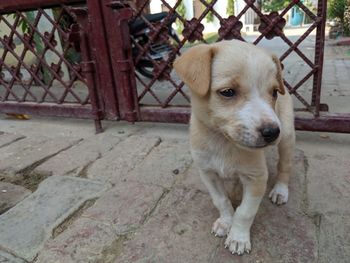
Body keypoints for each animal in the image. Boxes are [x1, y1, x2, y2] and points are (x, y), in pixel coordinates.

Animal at [174, 40, 294, 256]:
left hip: (287, 136)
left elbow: (245, 212)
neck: (224, 142)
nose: (272, 132)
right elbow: (221, 200)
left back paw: (280, 190)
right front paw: (225, 222)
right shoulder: (208, 173)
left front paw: (238, 238)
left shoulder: (256, 178)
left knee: (284, 167)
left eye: (273, 93)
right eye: (228, 92)